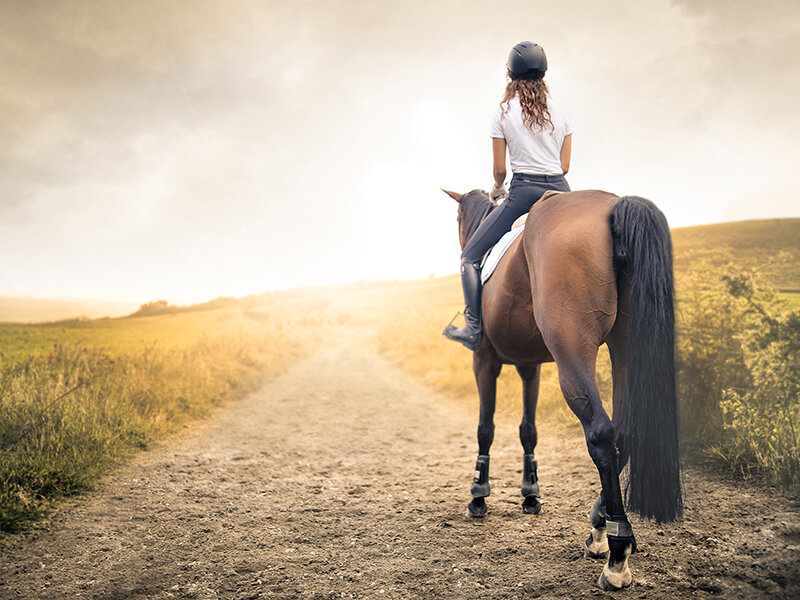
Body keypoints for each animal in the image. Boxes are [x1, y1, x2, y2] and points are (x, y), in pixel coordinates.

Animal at [440, 189, 680, 592]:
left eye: (458, 220)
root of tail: (613, 205)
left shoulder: (484, 361)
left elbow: (486, 428)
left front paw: (479, 495)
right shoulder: (530, 367)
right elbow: (528, 430)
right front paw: (530, 493)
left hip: (572, 349)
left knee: (601, 433)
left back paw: (616, 552)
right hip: (625, 344)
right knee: (625, 432)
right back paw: (600, 527)